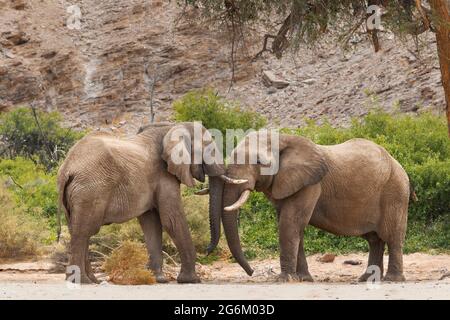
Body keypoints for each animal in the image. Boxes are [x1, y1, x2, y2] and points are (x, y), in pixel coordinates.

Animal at [58, 121, 244, 284]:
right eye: (209, 149)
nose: (207, 250)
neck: (172, 127)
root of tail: (67, 168)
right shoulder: (163, 175)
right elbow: (172, 220)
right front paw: (191, 280)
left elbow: (152, 224)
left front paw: (158, 279)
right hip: (90, 190)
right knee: (84, 231)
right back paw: (81, 281)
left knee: (79, 230)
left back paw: (92, 281)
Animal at [206, 131, 414, 284]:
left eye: (259, 162)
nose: (251, 271)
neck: (283, 138)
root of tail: (398, 165)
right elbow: (294, 227)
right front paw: (303, 279)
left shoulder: (311, 184)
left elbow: (290, 224)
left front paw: (284, 280)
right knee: (374, 240)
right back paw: (367, 279)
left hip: (395, 192)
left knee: (392, 237)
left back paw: (391, 280)